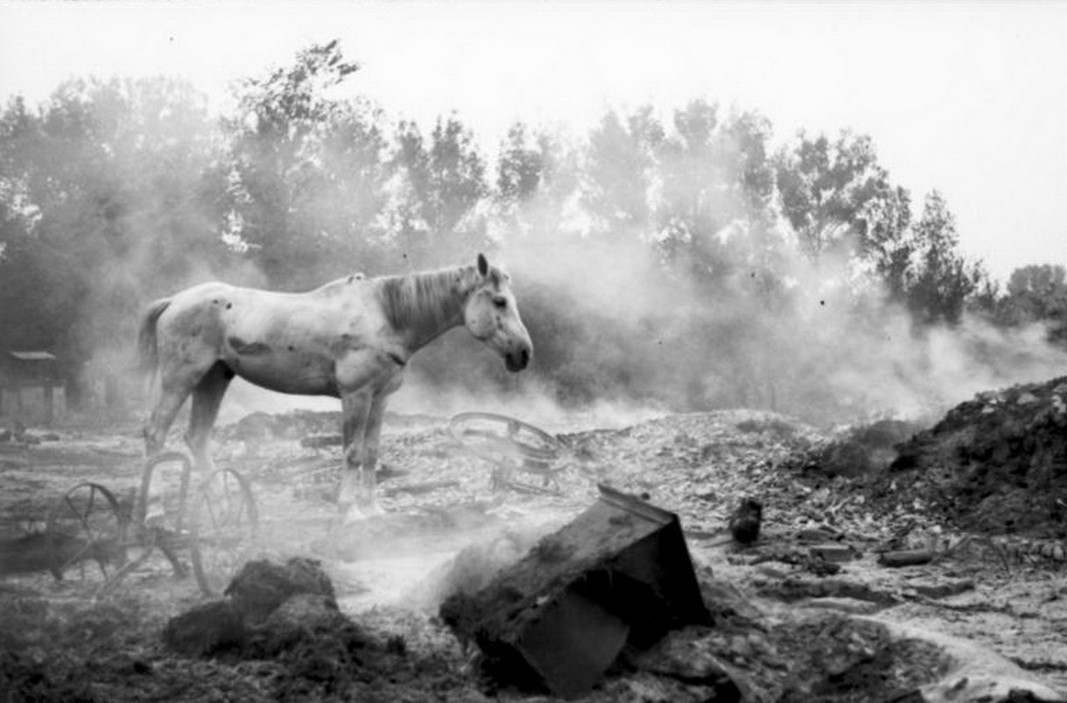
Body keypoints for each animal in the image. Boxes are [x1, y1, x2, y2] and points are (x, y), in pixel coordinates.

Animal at [137, 252, 533, 522]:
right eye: (499, 301)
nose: (524, 353)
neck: (386, 317)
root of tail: (174, 301)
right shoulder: (356, 396)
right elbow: (353, 453)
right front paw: (350, 512)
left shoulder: (380, 399)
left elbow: (371, 453)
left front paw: (373, 510)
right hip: (181, 377)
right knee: (155, 434)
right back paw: (151, 509)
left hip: (213, 378)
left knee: (197, 439)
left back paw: (221, 504)